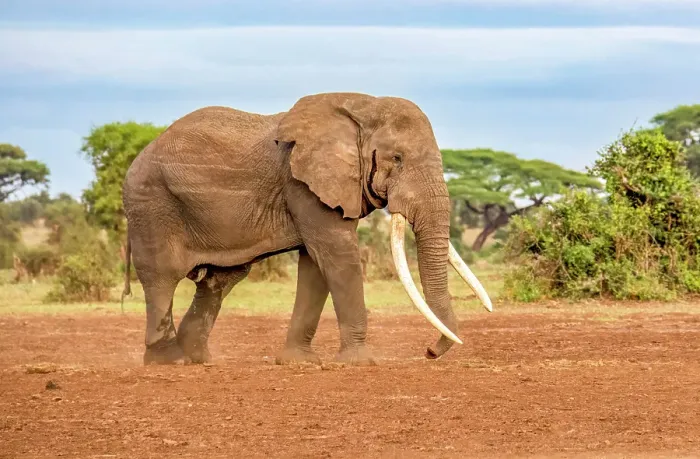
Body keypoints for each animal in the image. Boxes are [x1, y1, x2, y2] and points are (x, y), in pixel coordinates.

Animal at [120, 92, 493, 366]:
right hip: (151, 205)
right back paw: (169, 361)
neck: (362, 107)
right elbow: (338, 255)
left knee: (219, 280)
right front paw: (361, 362)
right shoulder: (300, 181)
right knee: (161, 278)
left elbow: (316, 265)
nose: (429, 352)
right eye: (398, 158)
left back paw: (199, 358)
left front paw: (298, 362)